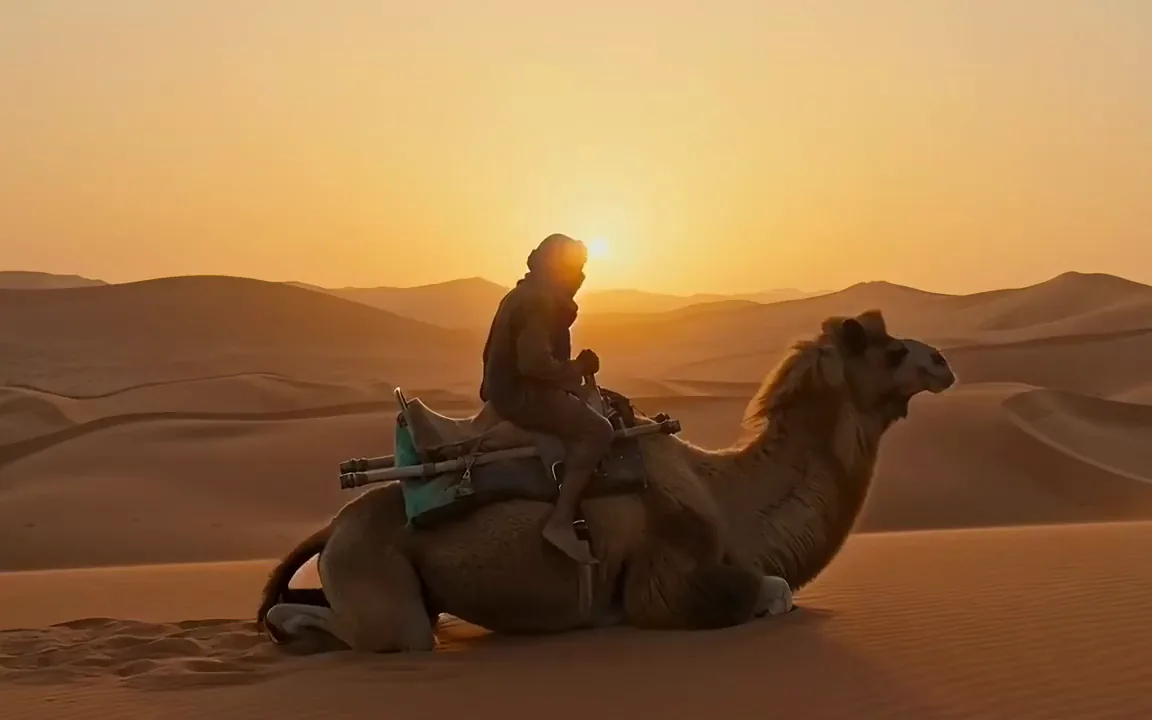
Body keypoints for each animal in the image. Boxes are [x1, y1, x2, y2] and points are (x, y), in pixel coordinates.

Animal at [257, 310, 956, 652]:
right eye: (893, 352)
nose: (943, 361)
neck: (724, 497)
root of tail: (334, 527)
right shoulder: (668, 585)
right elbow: (777, 592)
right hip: (383, 593)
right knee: (379, 632)